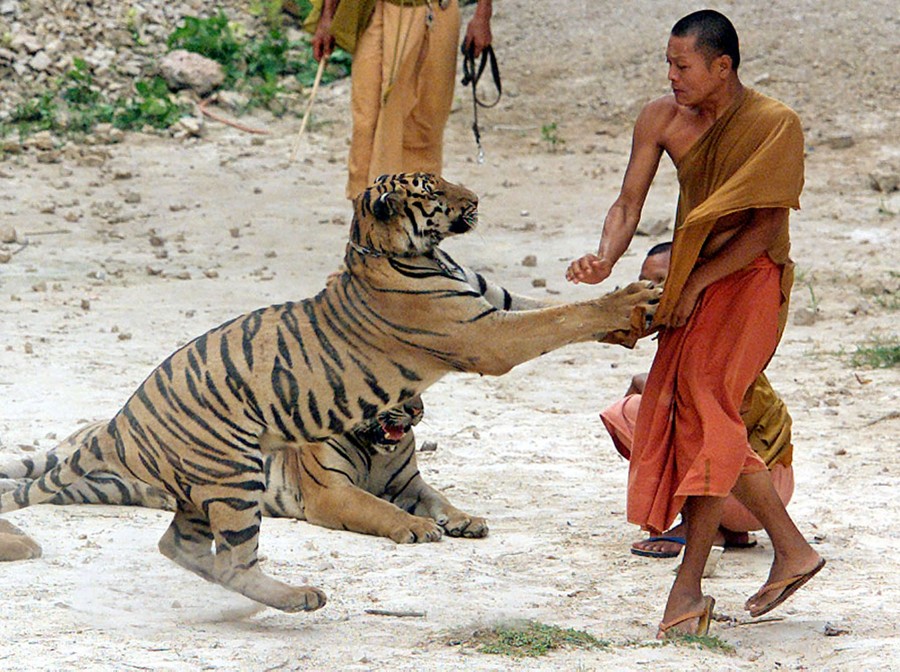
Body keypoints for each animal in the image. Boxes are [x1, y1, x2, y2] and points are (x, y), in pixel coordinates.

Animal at [0, 396, 488, 548]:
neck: (374, 447)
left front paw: (467, 521)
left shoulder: (410, 483)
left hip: (93, 488)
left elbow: (441, 499)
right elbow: (379, 509)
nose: (416, 410)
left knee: (31, 481)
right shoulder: (332, 491)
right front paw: (418, 528)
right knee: (29, 477)